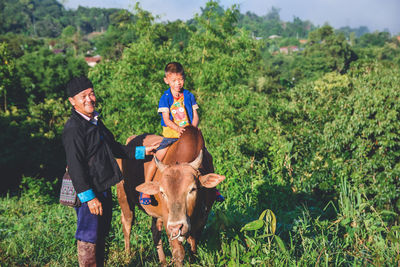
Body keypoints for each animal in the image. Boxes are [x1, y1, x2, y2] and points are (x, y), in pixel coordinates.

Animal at [117, 126, 227, 266]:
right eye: (162, 192)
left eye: (192, 189)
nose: (176, 226)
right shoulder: (168, 221)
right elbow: (178, 253)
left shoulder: (202, 219)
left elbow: (193, 247)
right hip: (123, 196)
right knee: (127, 223)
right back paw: (127, 255)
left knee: (155, 231)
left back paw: (163, 261)